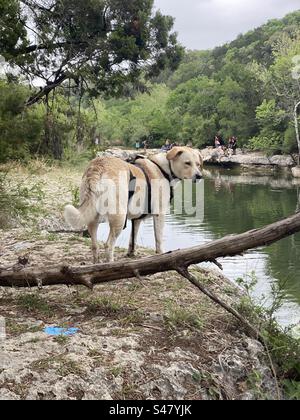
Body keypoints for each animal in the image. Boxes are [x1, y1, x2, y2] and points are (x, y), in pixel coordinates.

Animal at [64, 146, 203, 260]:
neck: (164, 169)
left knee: (95, 246)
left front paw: (131, 253)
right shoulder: (159, 214)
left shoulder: (137, 219)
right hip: (119, 218)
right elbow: (158, 238)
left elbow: (133, 238)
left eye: (198, 164)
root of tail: (98, 165)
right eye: (187, 163)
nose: (199, 176)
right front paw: (161, 254)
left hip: (93, 215)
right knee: (108, 245)